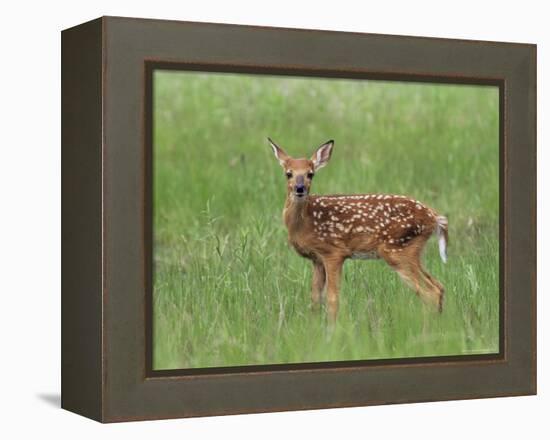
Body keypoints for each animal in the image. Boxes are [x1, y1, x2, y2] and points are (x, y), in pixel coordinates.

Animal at [270, 138, 450, 324]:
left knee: (430, 292)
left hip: (397, 249)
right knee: (439, 286)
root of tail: (434, 217)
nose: (300, 188)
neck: (305, 222)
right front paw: (313, 326)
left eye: (310, 174)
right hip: (412, 251)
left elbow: (332, 298)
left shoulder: (334, 252)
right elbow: (315, 299)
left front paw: (331, 328)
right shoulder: (317, 259)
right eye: (288, 173)